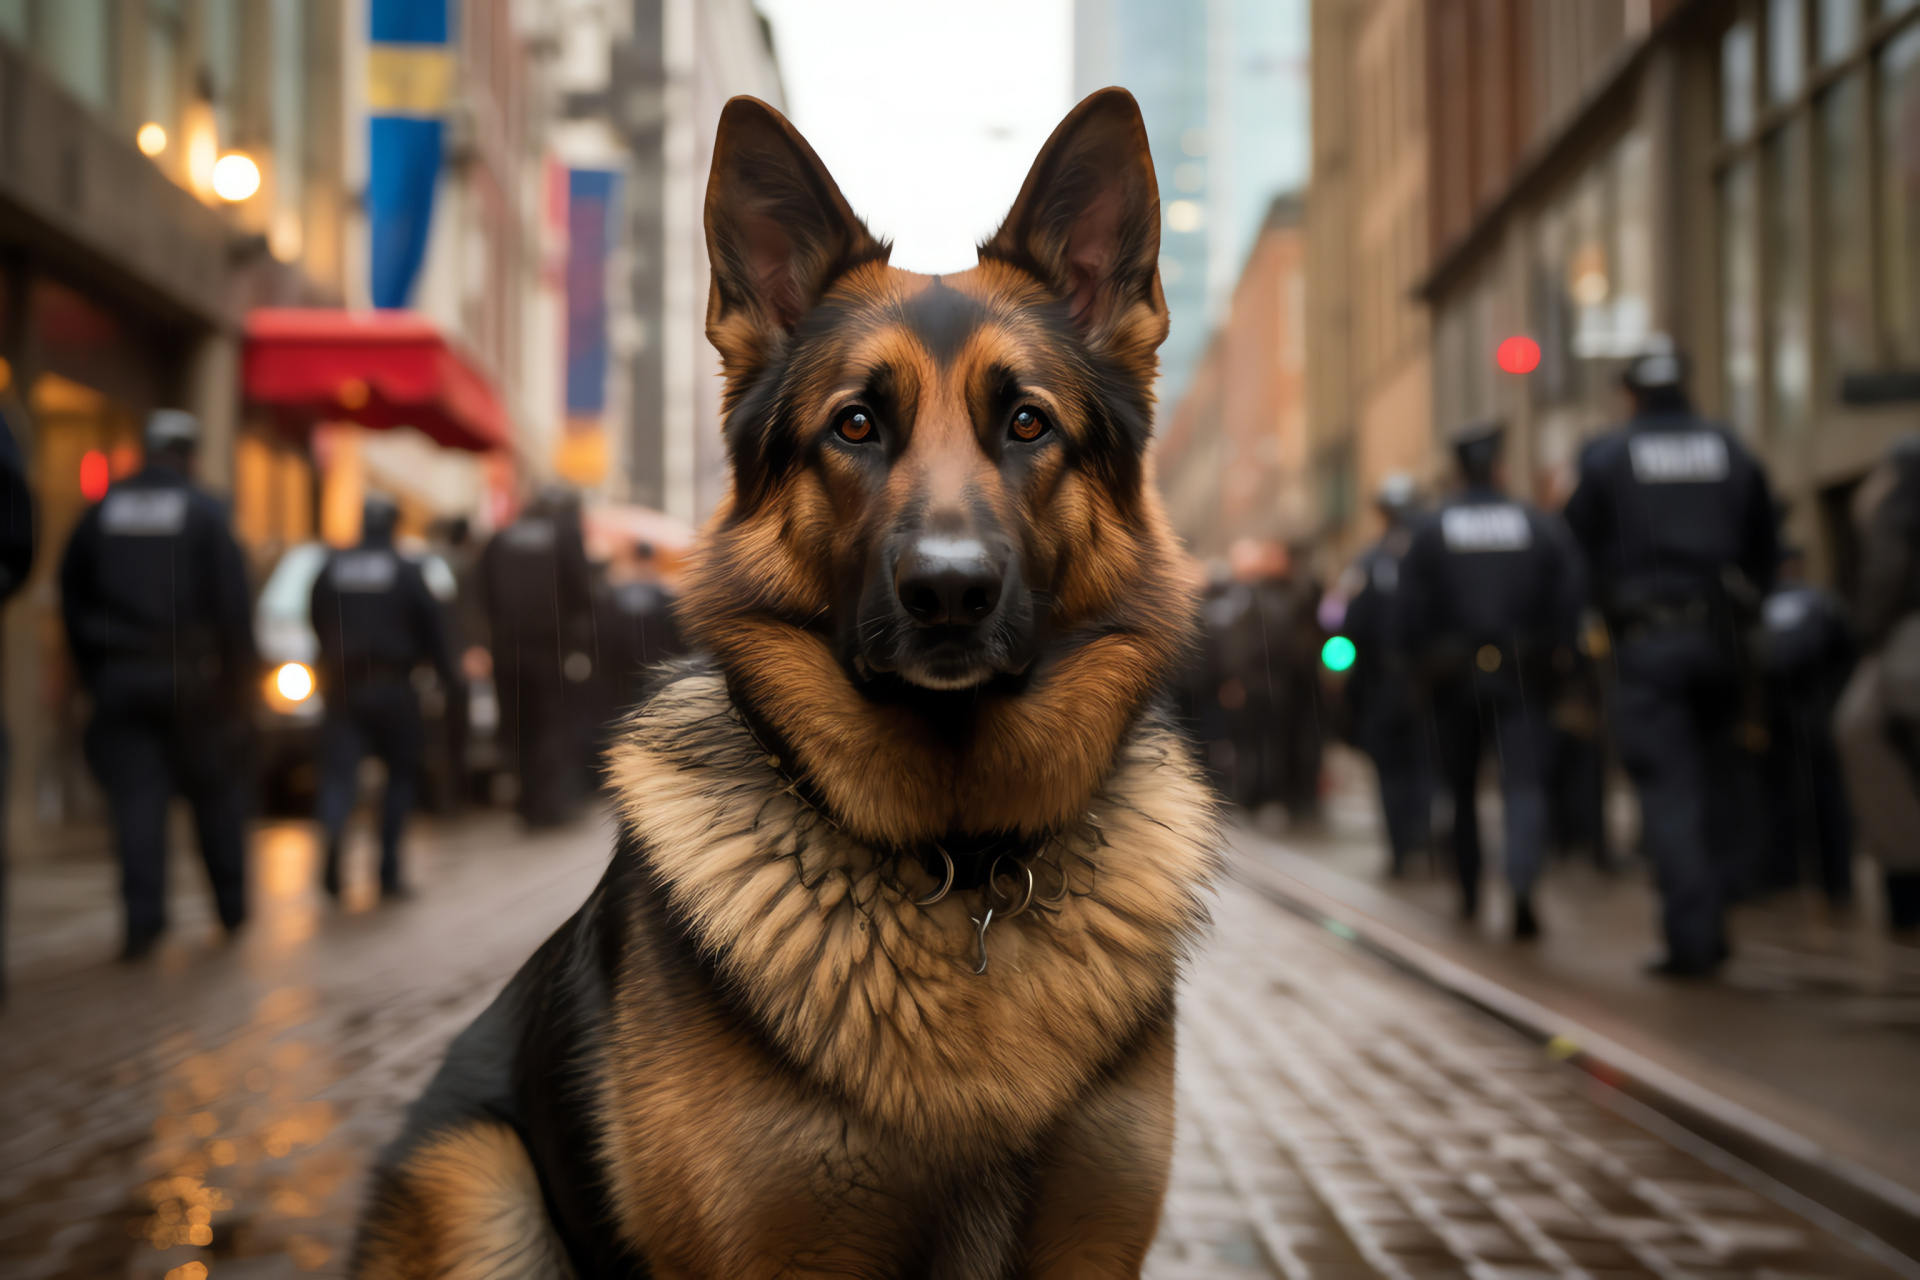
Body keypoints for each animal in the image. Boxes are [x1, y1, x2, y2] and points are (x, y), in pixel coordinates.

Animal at [357, 90, 1213, 1280]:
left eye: (1027, 422)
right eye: (855, 424)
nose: (950, 591)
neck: (958, 866)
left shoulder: (1091, 1241)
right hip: (476, 1177)